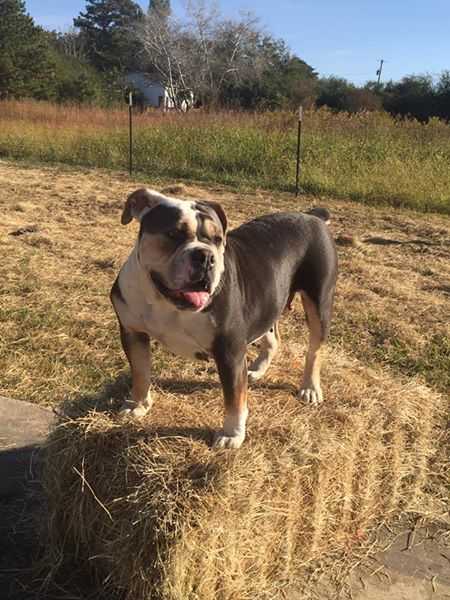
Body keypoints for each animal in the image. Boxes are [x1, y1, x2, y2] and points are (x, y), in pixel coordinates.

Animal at [110, 190, 336, 448]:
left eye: (218, 239)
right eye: (173, 234)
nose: (206, 256)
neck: (164, 302)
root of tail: (312, 216)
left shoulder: (230, 351)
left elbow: (234, 397)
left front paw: (232, 434)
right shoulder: (133, 333)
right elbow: (140, 371)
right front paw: (138, 405)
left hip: (319, 303)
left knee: (315, 350)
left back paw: (310, 388)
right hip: (269, 303)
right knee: (272, 337)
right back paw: (257, 370)